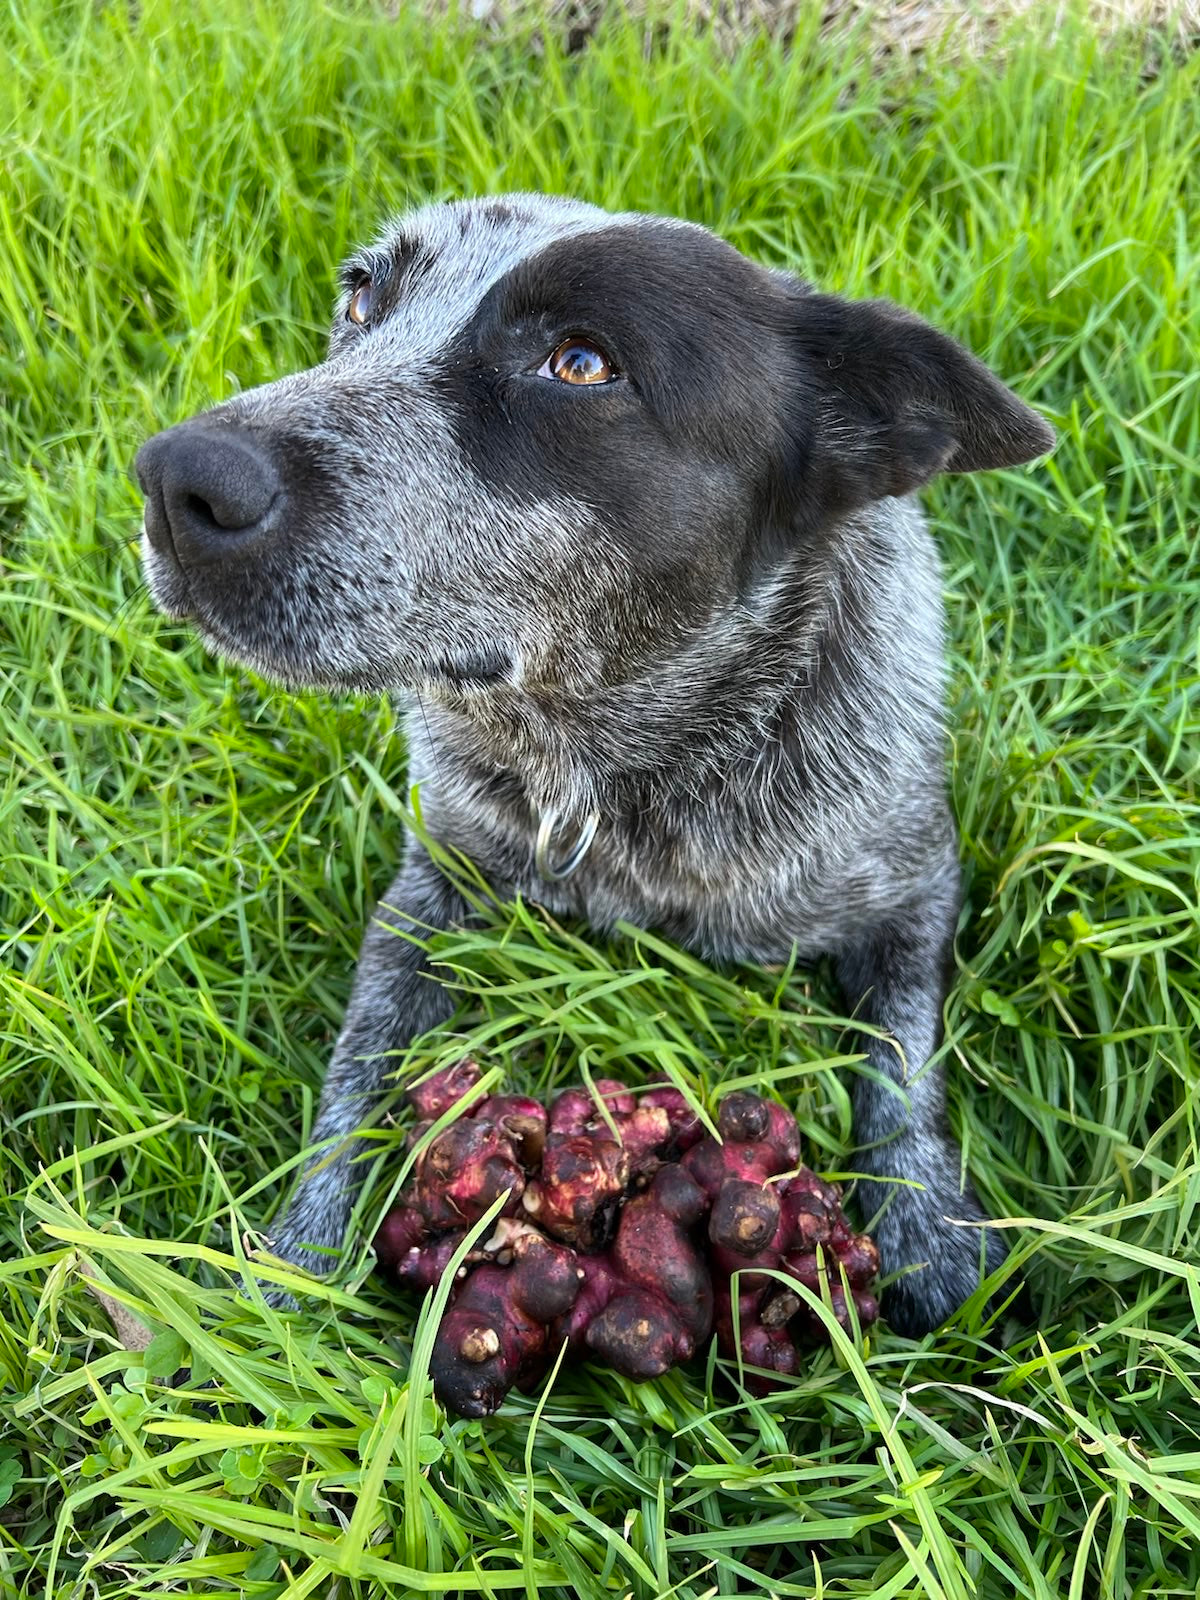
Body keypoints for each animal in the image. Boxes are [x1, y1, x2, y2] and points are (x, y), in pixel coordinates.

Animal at [138, 190, 1049, 1337]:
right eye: (361, 298)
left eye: (580, 364)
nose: (176, 479)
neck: (618, 765)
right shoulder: (430, 891)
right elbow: (356, 1077)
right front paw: (296, 1260)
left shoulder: (914, 884)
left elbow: (901, 1059)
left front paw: (926, 1224)